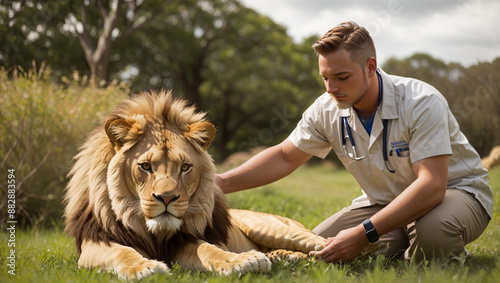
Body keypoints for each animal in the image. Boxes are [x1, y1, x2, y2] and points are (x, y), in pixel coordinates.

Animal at [64, 90, 326, 280]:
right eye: (145, 166)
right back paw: (285, 257)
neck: (153, 232)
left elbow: (209, 249)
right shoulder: (93, 242)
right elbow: (121, 251)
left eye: (185, 167)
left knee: (319, 243)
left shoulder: (185, 240)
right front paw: (143, 268)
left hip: (270, 228)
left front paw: (239, 261)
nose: (167, 198)